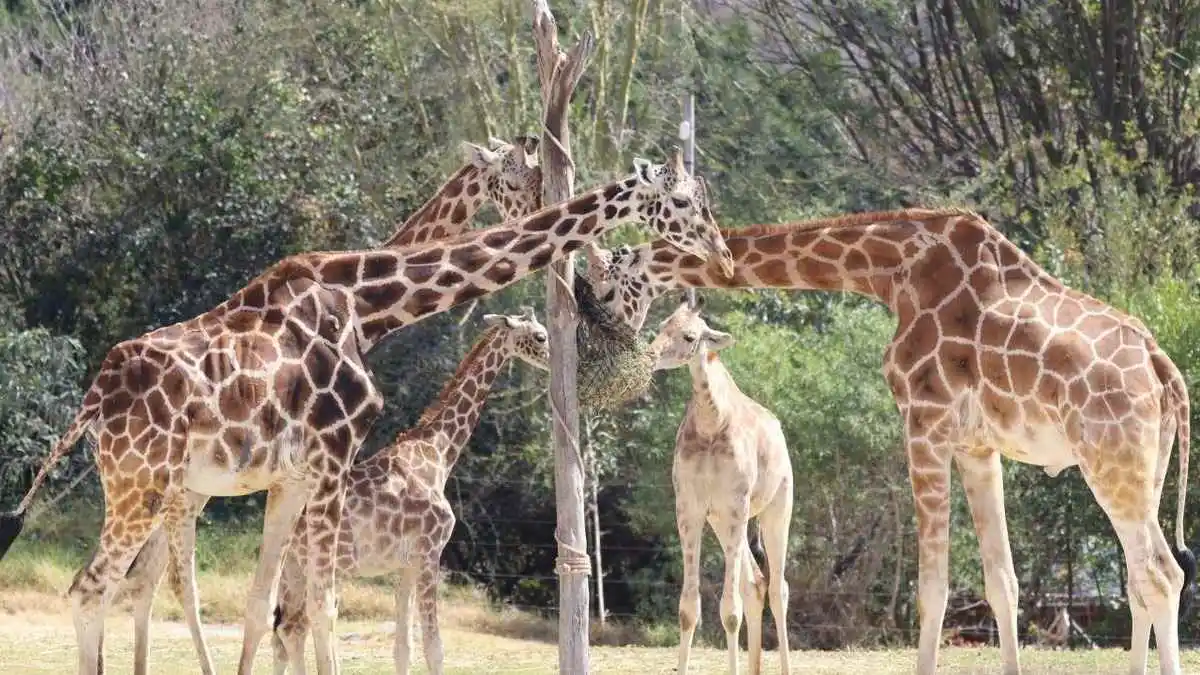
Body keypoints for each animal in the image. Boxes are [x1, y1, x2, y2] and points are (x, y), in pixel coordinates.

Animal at [266, 309, 549, 672]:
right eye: (540, 336)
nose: (552, 359)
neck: (439, 452)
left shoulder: (406, 564)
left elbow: (404, 646)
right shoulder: (430, 552)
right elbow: (434, 646)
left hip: (292, 568)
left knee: (286, 632)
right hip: (320, 565)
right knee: (302, 624)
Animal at [648, 293, 796, 672]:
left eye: (689, 336)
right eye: (662, 325)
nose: (650, 356)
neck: (711, 422)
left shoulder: (737, 504)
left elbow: (730, 612)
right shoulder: (690, 507)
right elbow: (688, 610)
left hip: (775, 508)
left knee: (778, 588)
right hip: (723, 520)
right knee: (755, 584)